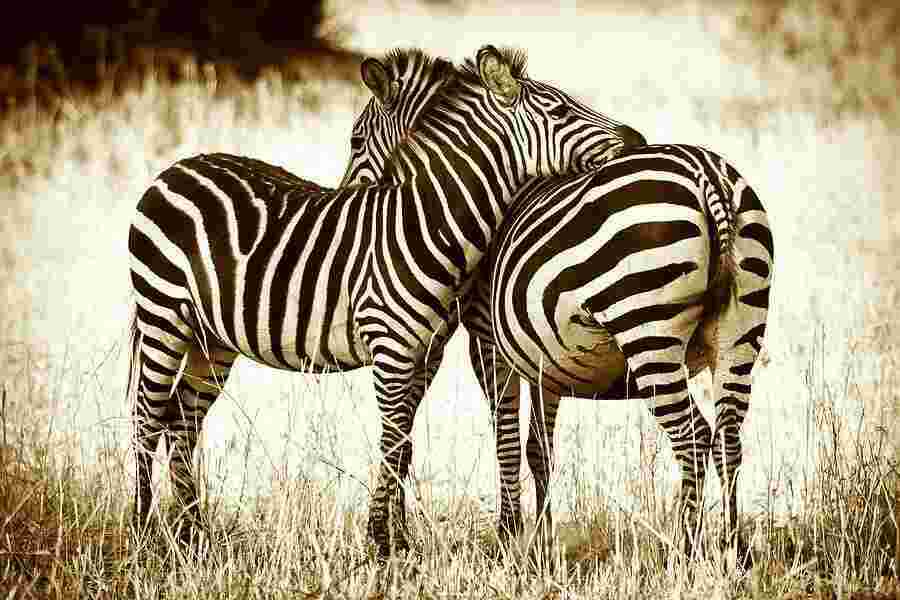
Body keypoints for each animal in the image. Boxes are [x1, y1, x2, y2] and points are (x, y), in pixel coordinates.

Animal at [125, 45, 642, 557]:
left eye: (356, 141)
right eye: (560, 111)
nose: (636, 138)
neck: (425, 224)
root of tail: (177, 167)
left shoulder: (424, 351)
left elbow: (406, 443)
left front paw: (399, 539)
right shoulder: (401, 346)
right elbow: (398, 442)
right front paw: (382, 540)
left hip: (210, 338)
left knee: (181, 420)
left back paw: (192, 533)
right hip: (162, 316)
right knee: (147, 418)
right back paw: (143, 530)